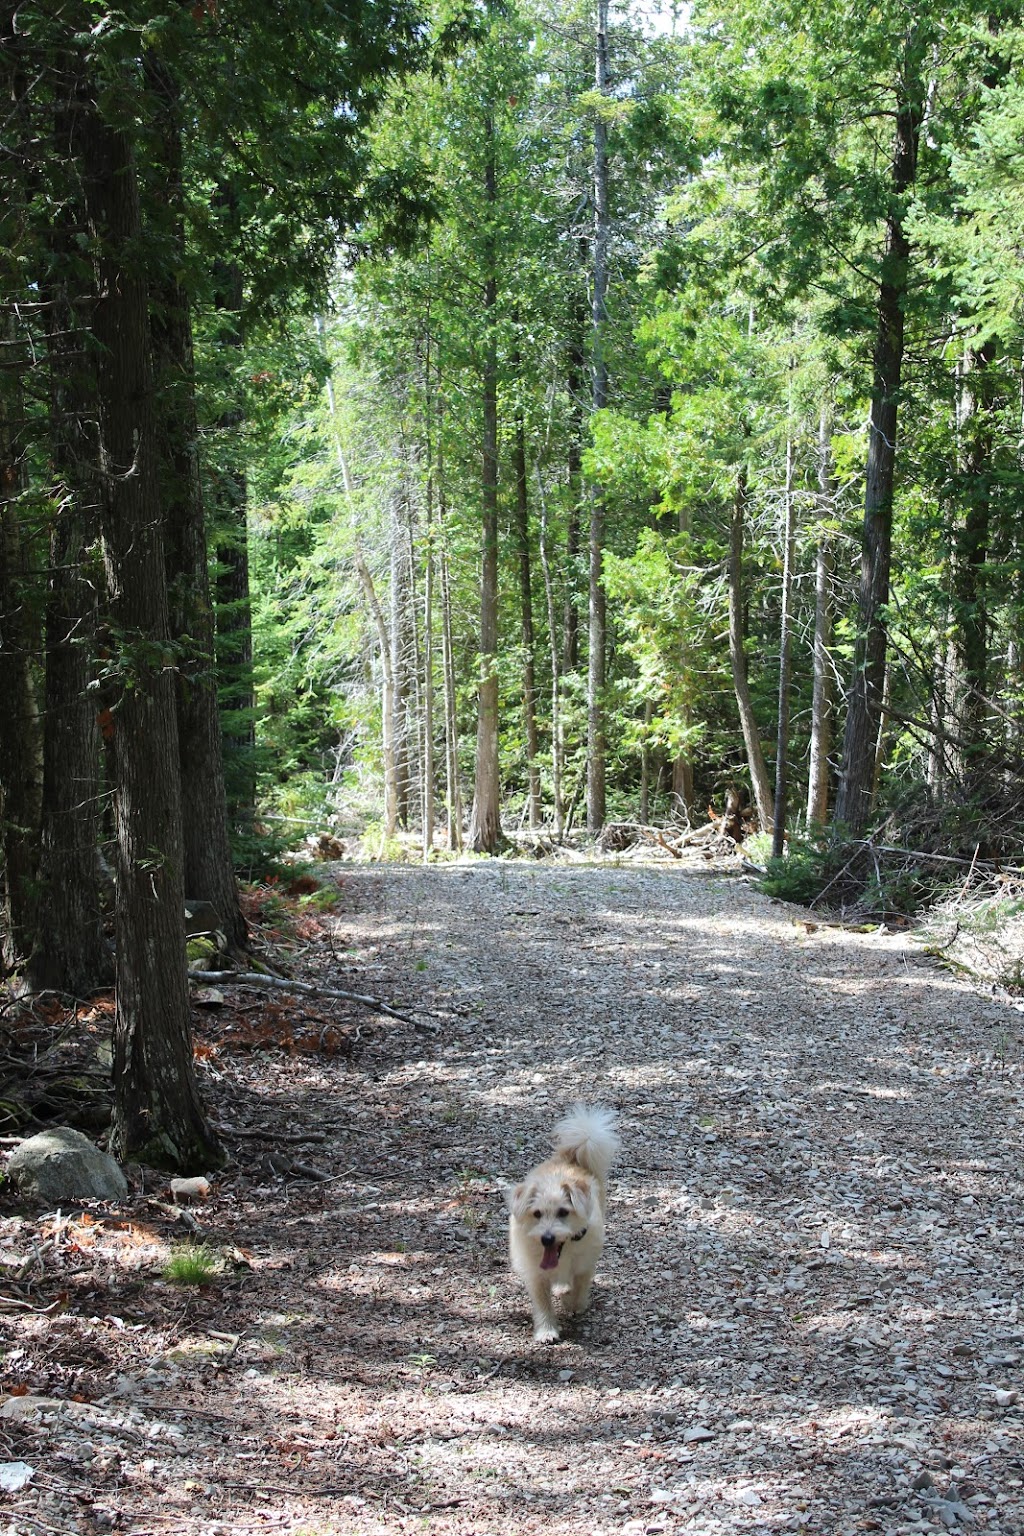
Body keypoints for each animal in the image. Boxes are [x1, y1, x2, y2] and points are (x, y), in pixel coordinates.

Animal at [509, 1105, 620, 1345]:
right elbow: (542, 1302)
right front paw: (547, 1331)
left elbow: (579, 1290)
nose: (547, 1238)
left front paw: (572, 1303)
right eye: (537, 1213)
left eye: (563, 1212)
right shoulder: (536, 1274)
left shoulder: (585, 1265)